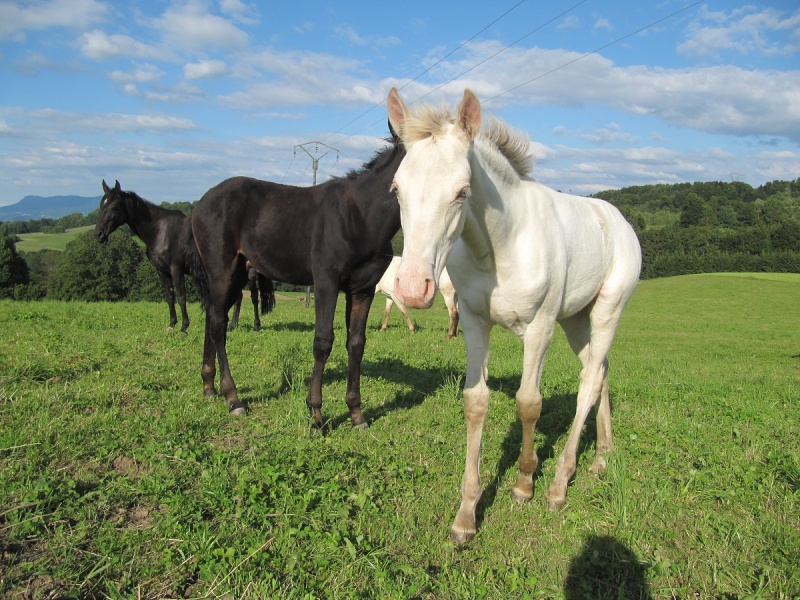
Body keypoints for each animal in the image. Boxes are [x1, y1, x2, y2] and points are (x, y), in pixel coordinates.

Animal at [94, 180, 192, 336]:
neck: (160, 232)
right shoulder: (162, 271)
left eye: (114, 207)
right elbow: (170, 297)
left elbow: (181, 297)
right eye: (101, 205)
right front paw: (172, 324)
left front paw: (184, 327)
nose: (98, 234)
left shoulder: (176, 269)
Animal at [184, 134, 404, 424]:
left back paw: (209, 386)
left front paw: (357, 414)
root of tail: (200, 203)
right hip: (221, 271)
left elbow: (356, 343)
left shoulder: (363, 290)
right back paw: (233, 398)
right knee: (219, 326)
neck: (361, 216)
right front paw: (316, 413)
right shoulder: (326, 283)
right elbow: (323, 341)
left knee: (212, 317)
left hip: (237, 275)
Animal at [384, 88, 640, 544]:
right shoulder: (474, 322)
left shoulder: (539, 328)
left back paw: (560, 483)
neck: (498, 246)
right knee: (601, 370)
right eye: (396, 188)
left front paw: (524, 483)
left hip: (608, 309)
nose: (413, 289)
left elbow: (528, 403)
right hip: (576, 318)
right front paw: (466, 516)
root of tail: (619, 220)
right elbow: (475, 402)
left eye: (462, 192)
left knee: (588, 381)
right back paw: (602, 456)